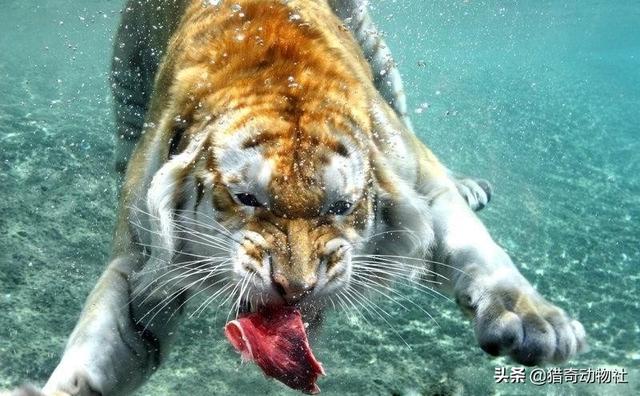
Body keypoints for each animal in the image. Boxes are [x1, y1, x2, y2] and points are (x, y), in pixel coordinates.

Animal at [10, 0, 584, 396]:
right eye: (245, 198)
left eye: (341, 207)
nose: (297, 288)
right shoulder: (141, 265)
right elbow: (107, 341)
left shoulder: (422, 183)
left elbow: (475, 249)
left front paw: (536, 324)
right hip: (127, 70)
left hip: (378, 53)